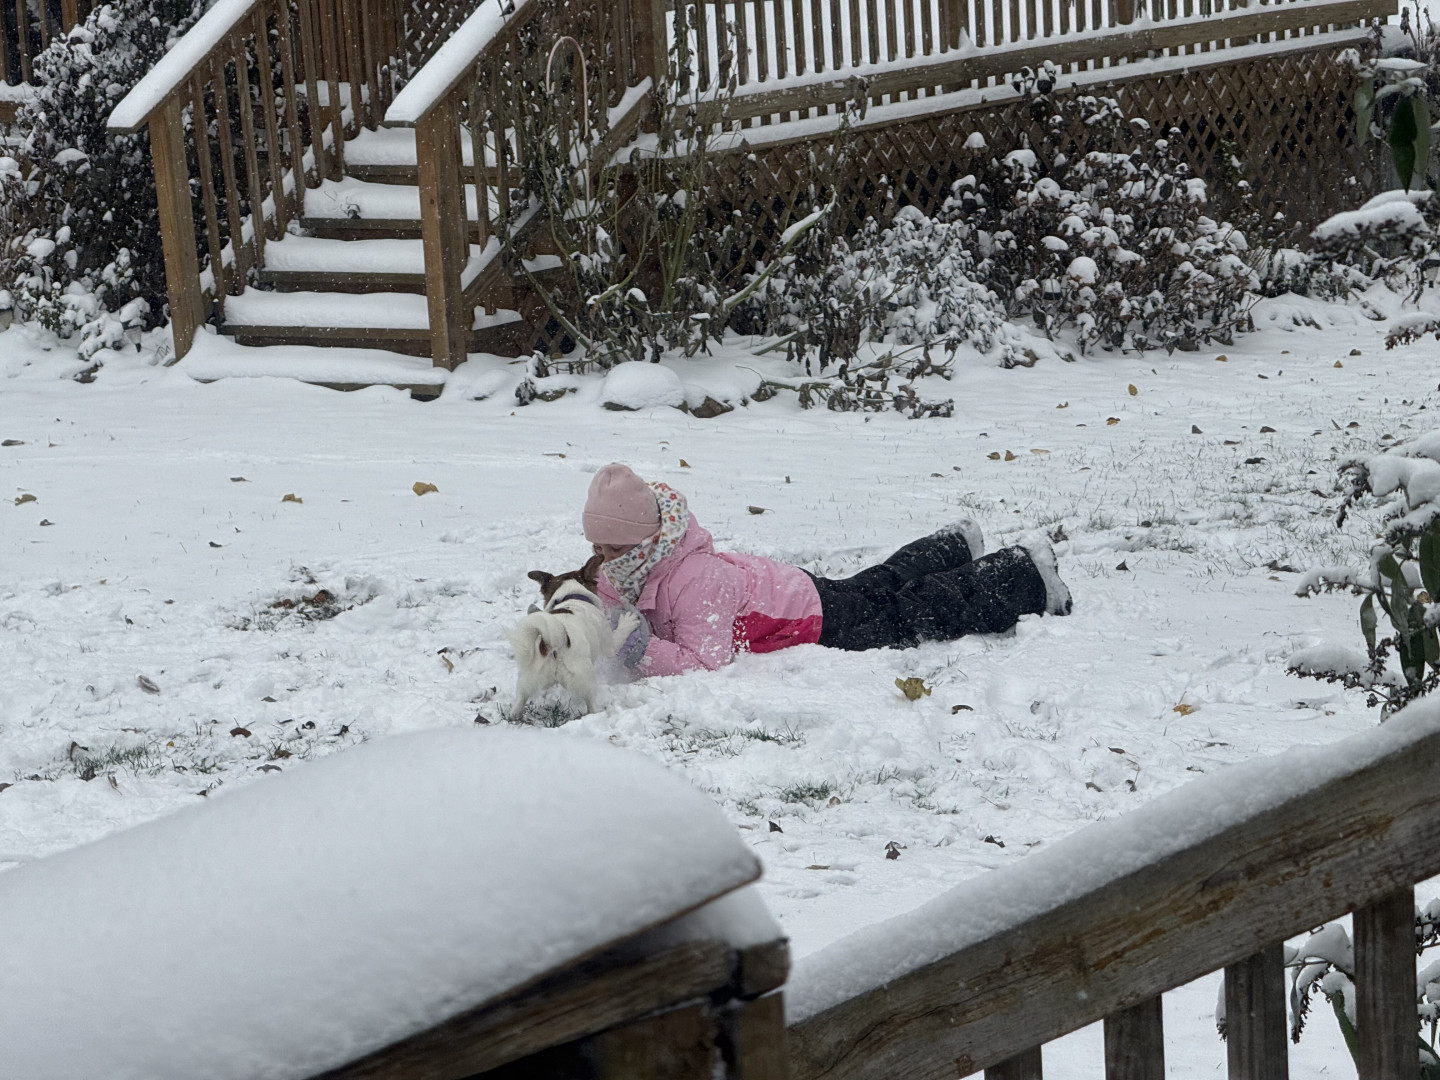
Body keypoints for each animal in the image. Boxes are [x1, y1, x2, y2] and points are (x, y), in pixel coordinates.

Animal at [506, 554, 641, 719]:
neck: (571, 596)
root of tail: (554, 644)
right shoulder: (609, 643)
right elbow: (619, 636)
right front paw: (628, 621)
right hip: (585, 679)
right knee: (592, 706)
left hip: (528, 679)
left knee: (518, 703)